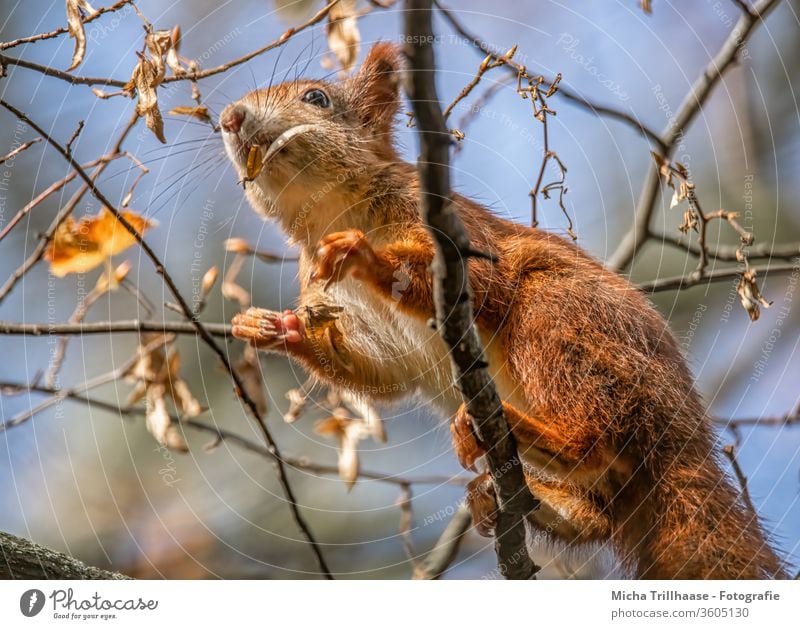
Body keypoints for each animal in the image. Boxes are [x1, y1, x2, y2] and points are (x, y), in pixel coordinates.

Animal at [219, 41, 788, 576]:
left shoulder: (451, 227)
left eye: (317, 98)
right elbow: (383, 373)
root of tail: (685, 435)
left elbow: (482, 284)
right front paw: (275, 327)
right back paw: (523, 501)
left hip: (559, 318)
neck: (333, 212)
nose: (229, 118)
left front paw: (367, 257)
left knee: (593, 436)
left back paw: (532, 434)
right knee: (598, 513)